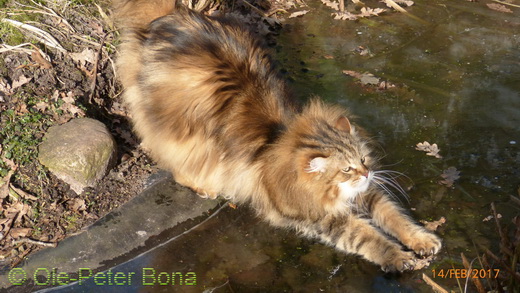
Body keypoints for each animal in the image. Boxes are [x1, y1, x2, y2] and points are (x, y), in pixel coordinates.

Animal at [115, 0, 442, 270]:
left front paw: (422, 240)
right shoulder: (322, 218)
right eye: (346, 170)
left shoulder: (368, 195)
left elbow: (395, 217)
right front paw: (397, 257)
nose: (367, 173)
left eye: (362, 160)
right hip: (183, 133)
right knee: (173, 159)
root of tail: (173, 15)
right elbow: (369, 237)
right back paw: (204, 186)